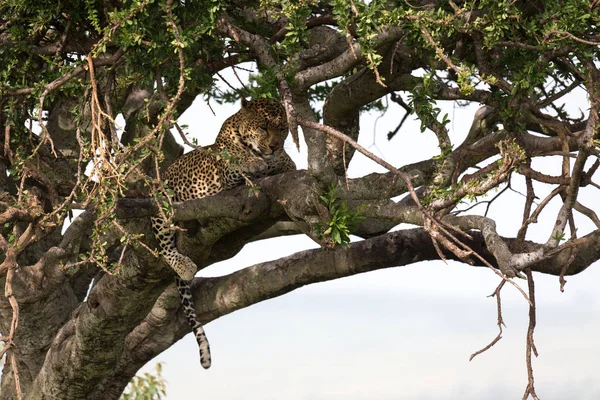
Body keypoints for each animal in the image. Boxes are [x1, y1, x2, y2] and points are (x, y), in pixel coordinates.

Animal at [151, 99, 296, 368]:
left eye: (283, 129)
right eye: (263, 127)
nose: (273, 146)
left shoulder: (288, 165)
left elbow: (286, 165)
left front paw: (274, 160)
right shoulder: (225, 180)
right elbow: (237, 162)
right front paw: (253, 162)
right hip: (160, 205)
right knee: (165, 246)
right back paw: (185, 266)